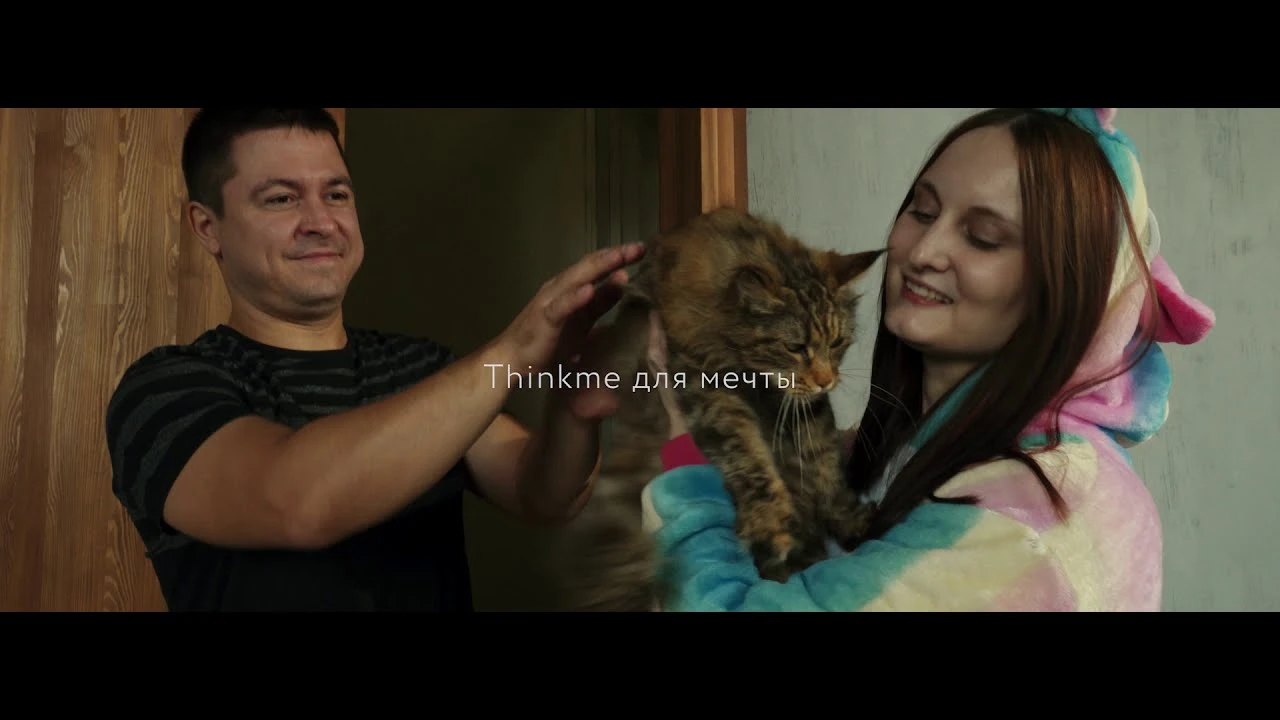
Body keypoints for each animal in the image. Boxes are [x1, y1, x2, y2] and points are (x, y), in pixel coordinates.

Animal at [554, 206, 883, 612]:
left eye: (837, 343)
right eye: (795, 347)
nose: (827, 381)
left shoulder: (806, 408)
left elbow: (825, 464)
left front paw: (848, 517)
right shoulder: (708, 388)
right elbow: (751, 459)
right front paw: (772, 525)